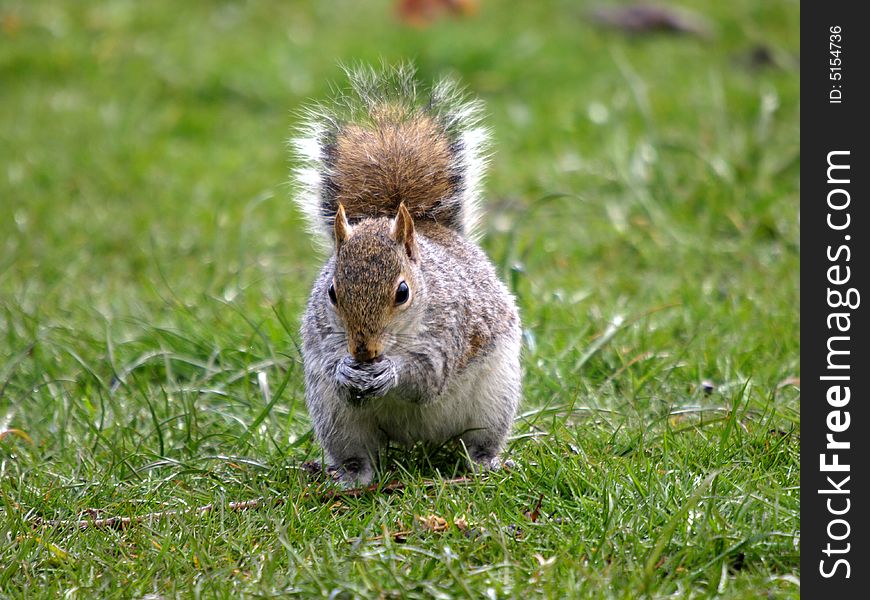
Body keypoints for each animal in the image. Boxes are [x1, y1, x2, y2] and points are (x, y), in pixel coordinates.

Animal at [292, 65, 524, 488]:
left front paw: (391, 372)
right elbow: (330, 362)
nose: (363, 350)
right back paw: (349, 478)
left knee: (478, 444)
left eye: (403, 292)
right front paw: (345, 369)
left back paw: (486, 463)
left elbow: (428, 376)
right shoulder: (322, 334)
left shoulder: (450, 331)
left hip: (494, 402)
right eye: (331, 292)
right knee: (358, 456)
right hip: (337, 420)